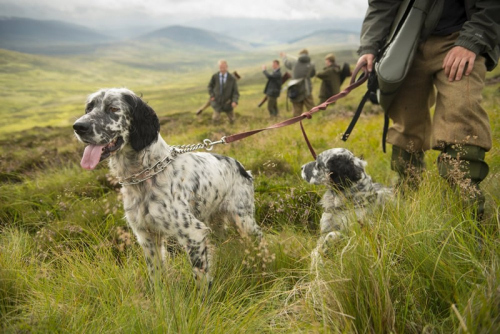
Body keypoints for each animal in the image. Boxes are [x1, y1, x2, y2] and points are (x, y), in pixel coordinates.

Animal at [74, 87, 264, 286]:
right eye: (89, 108)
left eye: (113, 108)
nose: (78, 126)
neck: (145, 173)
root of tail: (241, 166)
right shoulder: (147, 236)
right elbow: (156, 276)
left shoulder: (193, 233)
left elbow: (201, 280)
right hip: (216, 220)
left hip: (243, 219)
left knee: (259, 236)